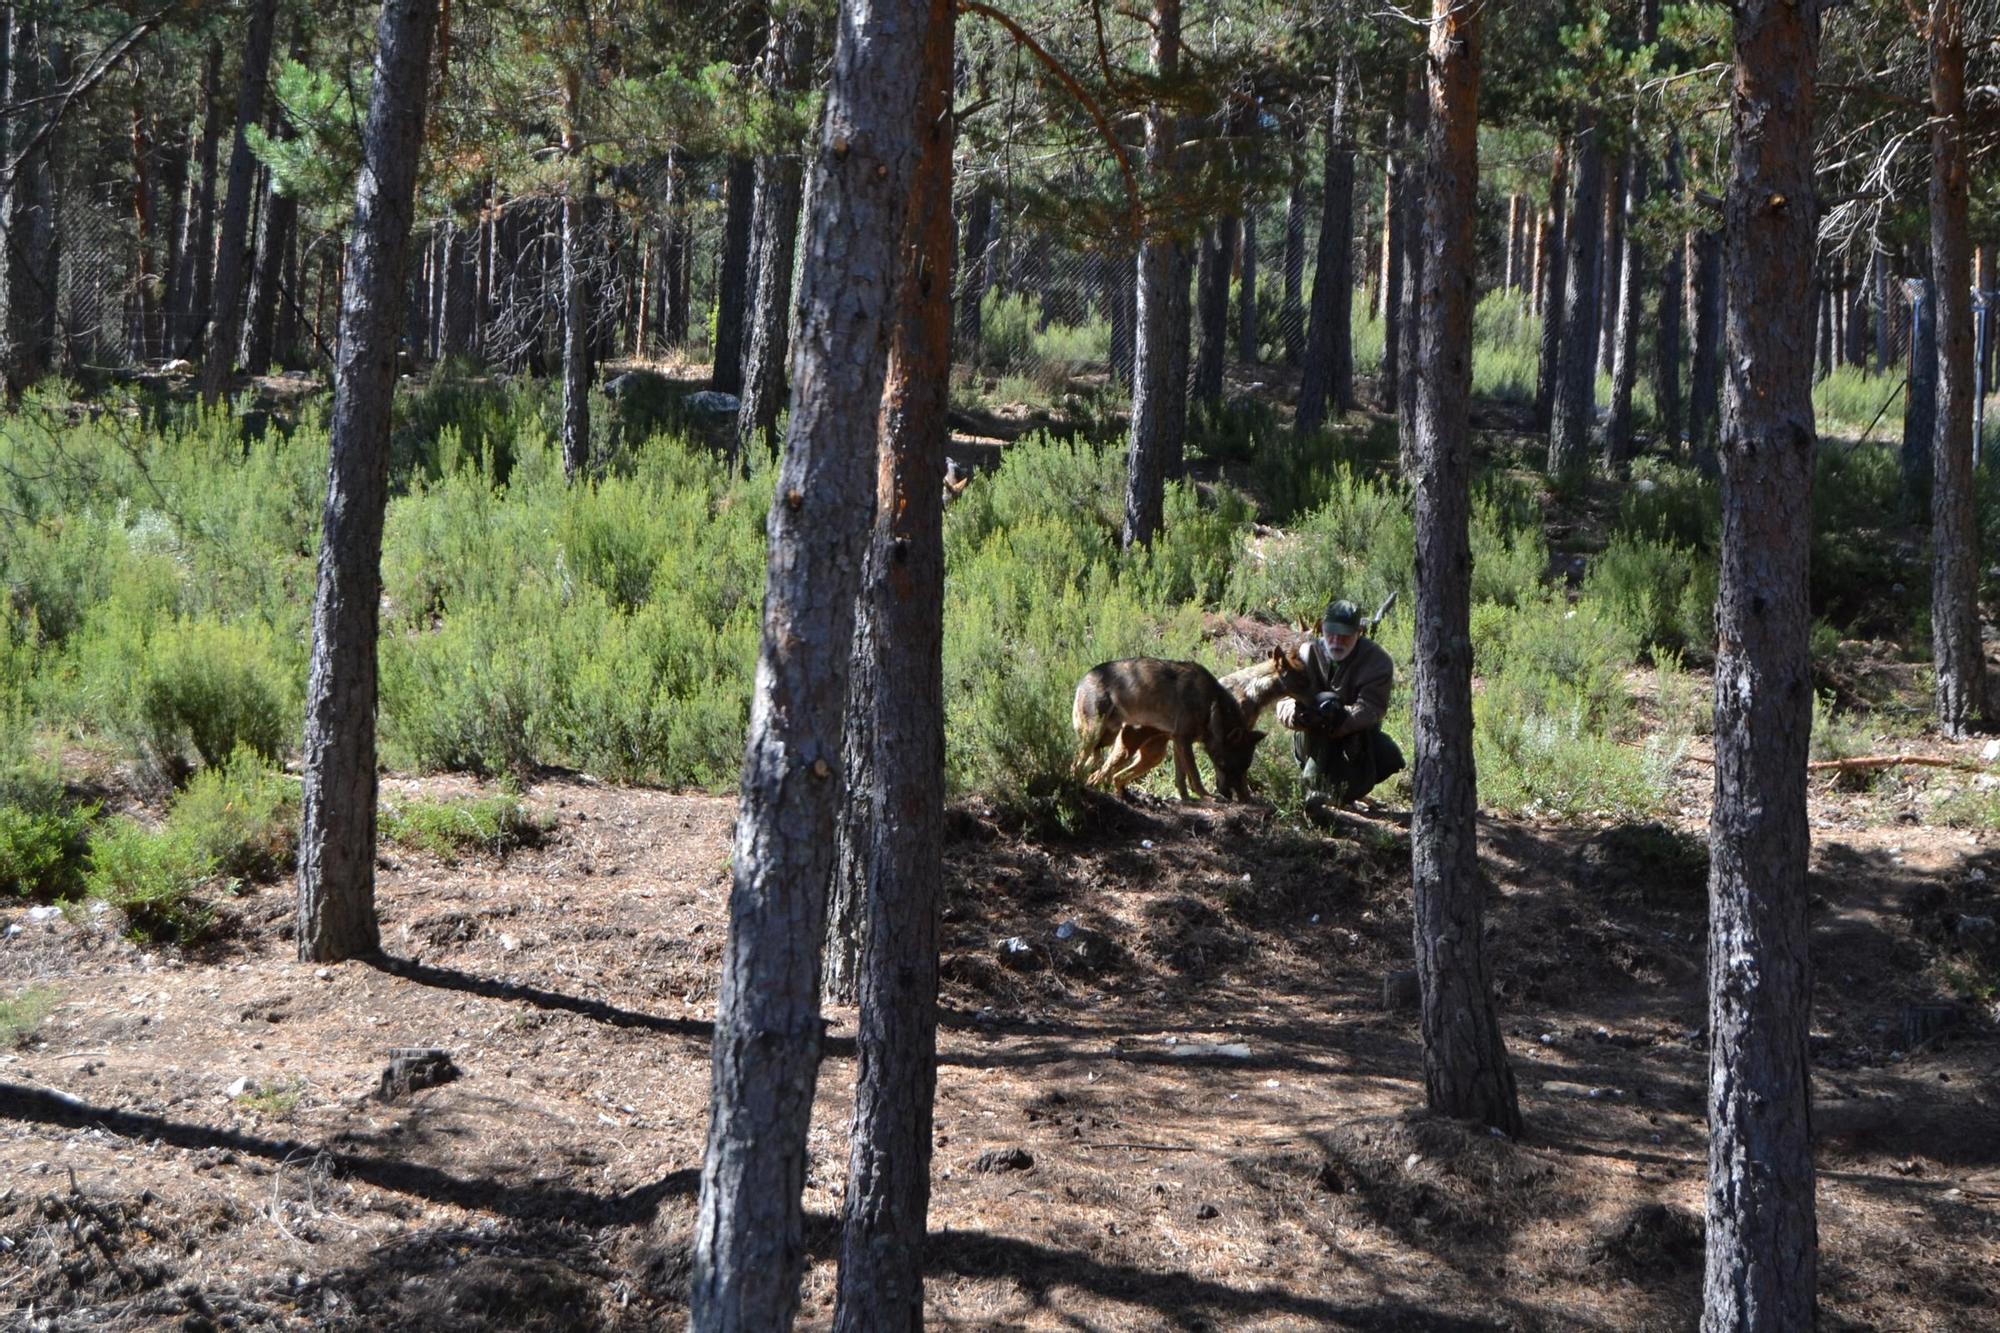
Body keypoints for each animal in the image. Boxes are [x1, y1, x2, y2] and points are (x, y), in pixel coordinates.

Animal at [1080, 652, 1264, 788]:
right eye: (1227, 767)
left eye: (1244, 769)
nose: (1231, 796)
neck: (1211, 704)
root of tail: (1086, 676)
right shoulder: (1183, 739)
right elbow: (1195, 777)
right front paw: (1206, 797)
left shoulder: (1178, 742)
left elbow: (1181, 779)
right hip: (1098, 739)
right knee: (1089, 769)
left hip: (1147, 754)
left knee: (1107, 775)